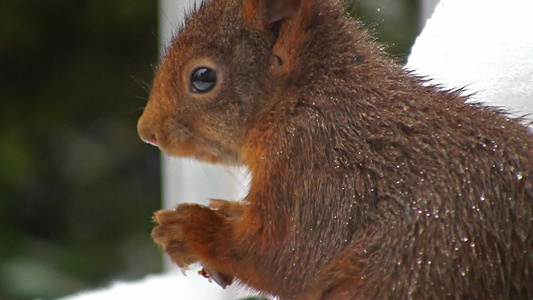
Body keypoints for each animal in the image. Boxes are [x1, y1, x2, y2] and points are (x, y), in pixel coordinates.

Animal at [137, 0, 532, 298]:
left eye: (203, 78)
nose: (147, 132)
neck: (306, 96)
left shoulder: (318, 167)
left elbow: (286, 257)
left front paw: (188, 228)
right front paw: (224, 212)